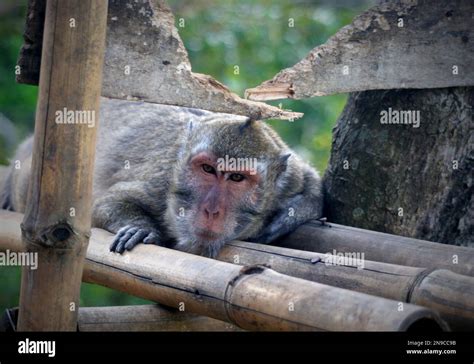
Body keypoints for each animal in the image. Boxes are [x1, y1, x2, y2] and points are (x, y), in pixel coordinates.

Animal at [0, 98, 322, 258]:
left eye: (236, 178)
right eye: (208, 170)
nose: (212, 210)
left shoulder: (291, 175)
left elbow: (315, 189)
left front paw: (290, 215)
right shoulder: (162, 178)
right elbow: (105, 204)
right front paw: (139, 229)